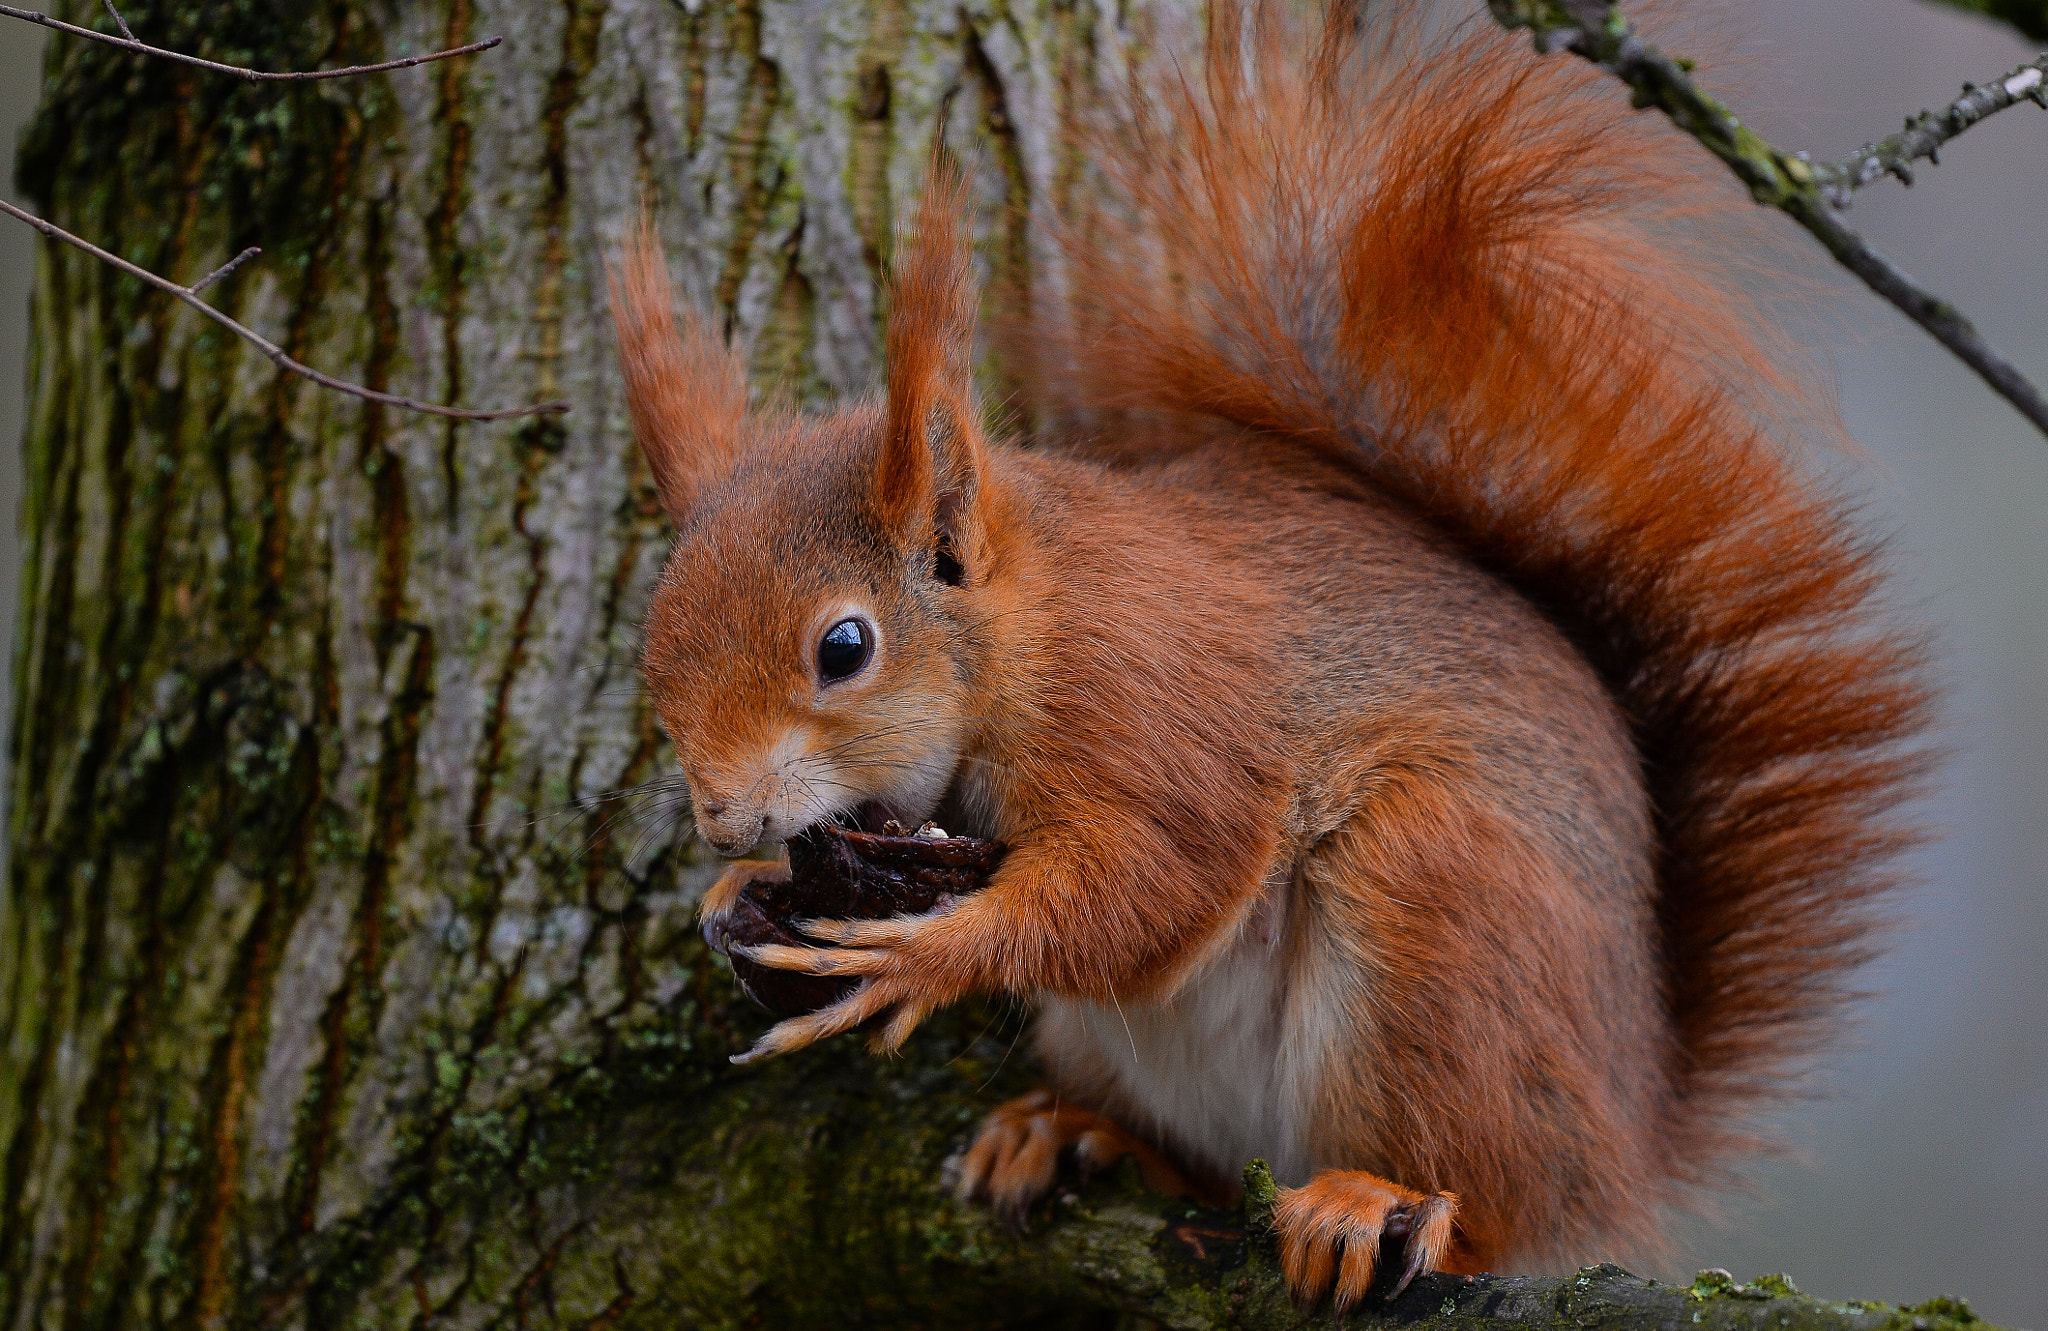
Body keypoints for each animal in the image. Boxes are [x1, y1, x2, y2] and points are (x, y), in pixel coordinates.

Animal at [607, 4, 1932, 1310]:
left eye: (844, 647)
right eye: (656, 643)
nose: (721, 821)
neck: (1026, 637)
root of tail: (1628, 1132)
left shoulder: (1151, 702)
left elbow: (1153, 878)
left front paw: (921, 957)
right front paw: (736, 898)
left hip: (1436, 910)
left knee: (1481, 1198)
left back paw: (1373, 1201)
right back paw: (1072, 1132)